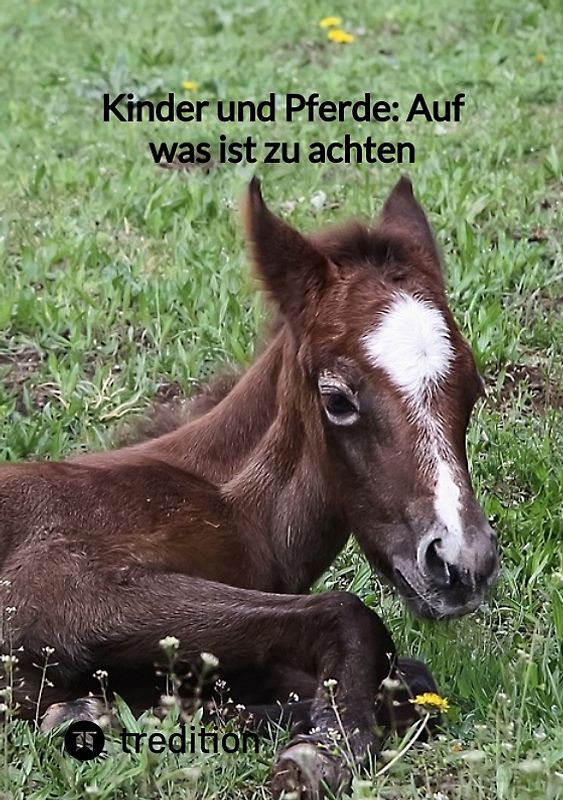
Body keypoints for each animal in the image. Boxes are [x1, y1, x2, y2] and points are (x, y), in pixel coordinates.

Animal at [0, 176, 499, 798]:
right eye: (337, 399)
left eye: (473, 388)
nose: (463, 562)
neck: (226, 502)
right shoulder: (49, 589)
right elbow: (346, 611)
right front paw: (322, 748)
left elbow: (410, 679)